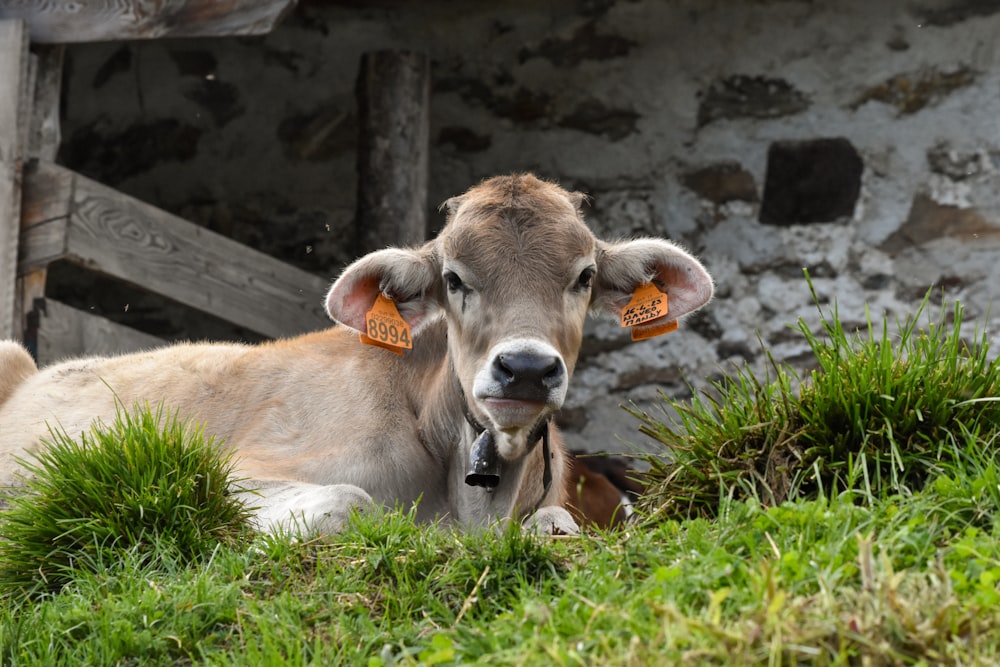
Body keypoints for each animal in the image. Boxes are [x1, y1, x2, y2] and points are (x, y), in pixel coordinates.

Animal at [1, 175, 720, 536]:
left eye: (584, 276)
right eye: (453, 278)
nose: (525, 368)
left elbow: (561, 524)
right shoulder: (233, 470)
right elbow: (348, 501)